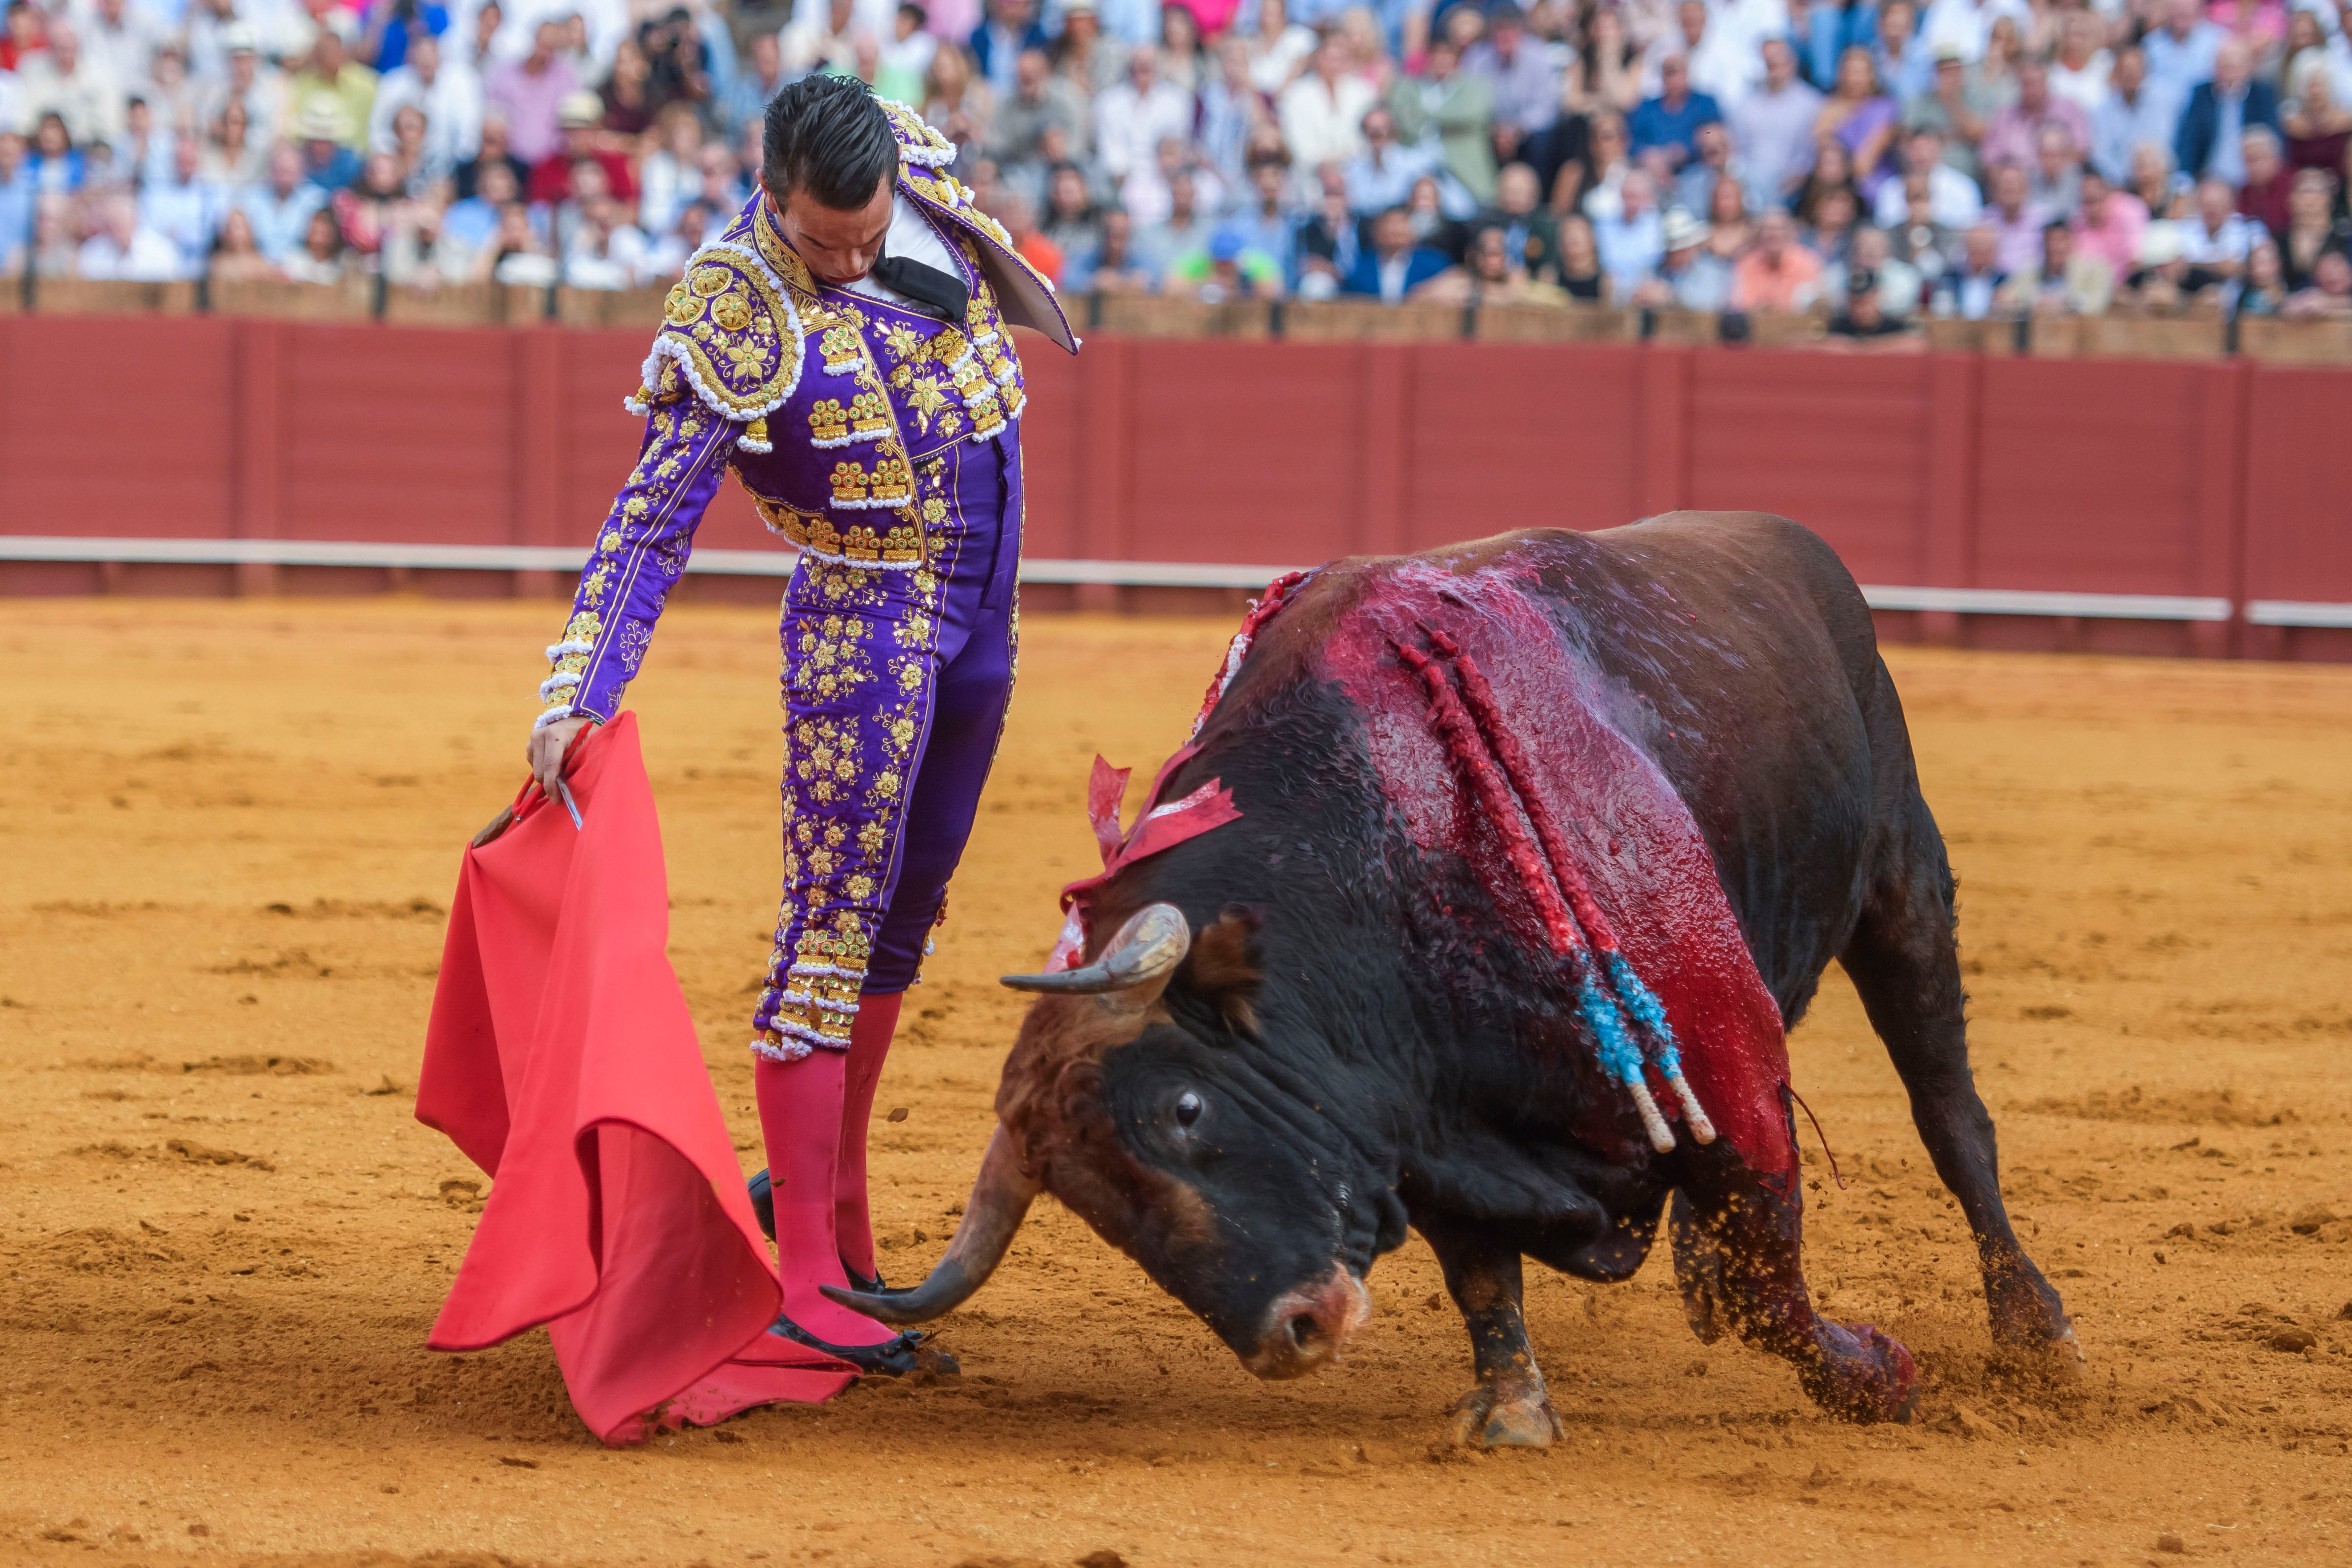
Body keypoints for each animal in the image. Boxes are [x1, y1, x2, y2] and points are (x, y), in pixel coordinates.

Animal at [823, 514, 2079, 1448]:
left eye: (1183, 1109)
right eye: (1094, 1210)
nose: (1294, 1327)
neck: (1376, 853)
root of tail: (1790, 544)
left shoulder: (1717, 1059)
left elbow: (1760, 1278)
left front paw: (1878, 1373)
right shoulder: (1414, 1109)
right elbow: (1480, 1268)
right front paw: (1511, 1411)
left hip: (1904, 883)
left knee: (1951, 1116)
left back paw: (2036, 1334)